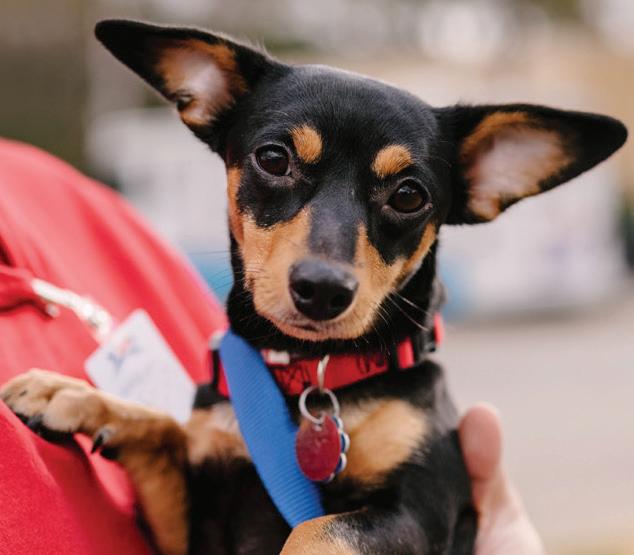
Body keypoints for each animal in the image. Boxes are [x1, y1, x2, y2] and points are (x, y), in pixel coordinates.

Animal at [0, 19, 627, 555]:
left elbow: (315, 531)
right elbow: (167, 430)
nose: (323, 290)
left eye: (409, 195)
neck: (312, 375)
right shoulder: (195, 526)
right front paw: (74, 396)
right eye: (273, 159)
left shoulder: (417, 512)